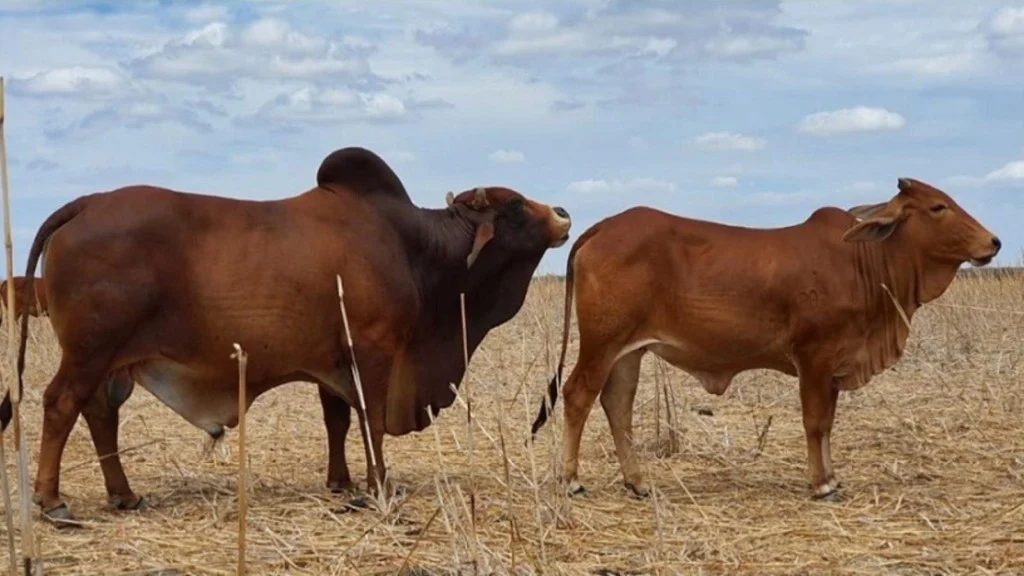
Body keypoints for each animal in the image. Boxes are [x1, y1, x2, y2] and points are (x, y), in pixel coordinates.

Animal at [4, 144, 573, 520]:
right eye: (515, 205)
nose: (564, 214)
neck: (415, 245)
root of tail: (89, 202)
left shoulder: (332, 363)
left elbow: (336, 421)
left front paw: (341, 483)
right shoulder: (374, 351)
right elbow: (369, 421)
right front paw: (379, 485)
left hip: (113, 362)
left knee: (100, 415)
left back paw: (122, 494)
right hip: (89, 352)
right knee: (61, 405)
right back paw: (51, 500)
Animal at [536, 177, 999, 500]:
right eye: (938, 207)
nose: (993, 242)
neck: (863, 263)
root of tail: (601, 227)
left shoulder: (833, 365)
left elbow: (828, 423)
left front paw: (832, 476)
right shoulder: (813, 358)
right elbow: (815, 422)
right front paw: (821, 485)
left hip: (629, 351)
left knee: (617, 403)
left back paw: (637, 482)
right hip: (601, 343)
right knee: (578, 395)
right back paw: (571, 480)